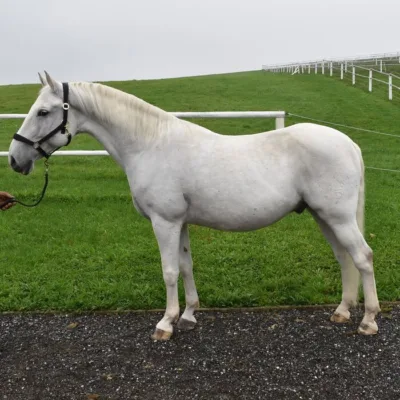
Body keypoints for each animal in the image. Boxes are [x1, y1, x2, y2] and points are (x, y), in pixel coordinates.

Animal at [7, 72, 380, 340]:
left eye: (43, 111)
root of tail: (349, 144)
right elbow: (186, 266)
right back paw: (342, 311)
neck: (149, 144)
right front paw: (188, 315)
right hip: (323, 216)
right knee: (345, 258)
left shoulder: (164, 221)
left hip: (338, 217)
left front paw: (165, 324)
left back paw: (368, 321)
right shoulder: (180, 222)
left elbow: (169, 271)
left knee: (362, 257)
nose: (14, 159)